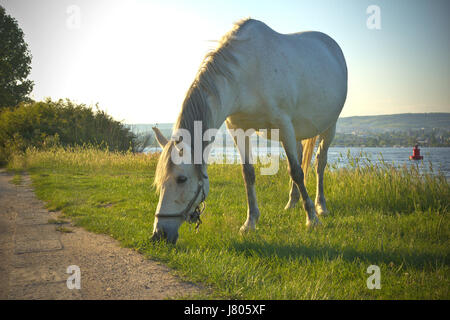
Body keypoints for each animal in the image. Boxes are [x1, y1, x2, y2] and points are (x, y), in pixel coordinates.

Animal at [151, 18, 348, 242]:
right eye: (159, 181)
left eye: (181, 179)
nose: (158, 234)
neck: (246, 74)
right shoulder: (239, 130)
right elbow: (249, 174)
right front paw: (250, 222)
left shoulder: (284, 125)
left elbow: (296, 172)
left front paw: (312, 219)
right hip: (296, 131)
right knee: (300, 157)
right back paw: (292, 202)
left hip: (329, 126)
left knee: (319, 163)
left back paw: (320, 206)